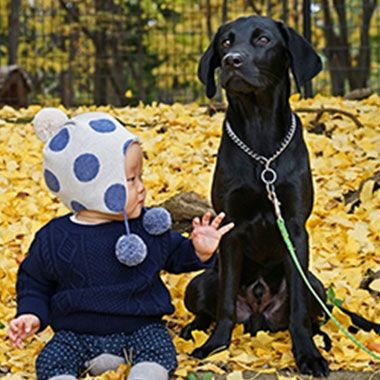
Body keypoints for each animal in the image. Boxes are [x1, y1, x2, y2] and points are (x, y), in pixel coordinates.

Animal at [180, 15, 380, 378]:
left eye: (263, 39)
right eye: (226, 43)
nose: (232, 61)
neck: (261, 143)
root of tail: (259, 316)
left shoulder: (295, 228)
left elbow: (299, 310)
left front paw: (308, 355)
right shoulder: (229, 229)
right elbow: (225, 302)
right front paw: (215, 346)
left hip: (316, 285)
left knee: (312, 315)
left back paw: (322, 339)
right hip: (198, 283)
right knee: (206, 308)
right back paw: (194, 330)